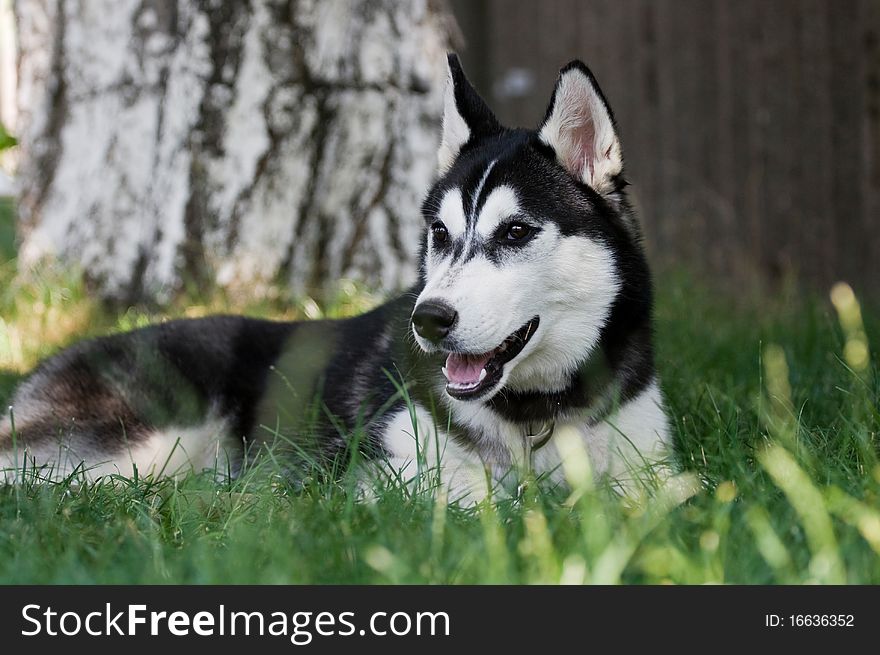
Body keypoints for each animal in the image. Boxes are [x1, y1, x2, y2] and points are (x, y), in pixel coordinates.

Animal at [0, 55, 672, 502]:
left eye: (515, 232)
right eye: (440, 233)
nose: (429, 320)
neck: (535, 416)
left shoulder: (649, 464)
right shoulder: (377, 472)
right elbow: (477, 500)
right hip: (150, 442)